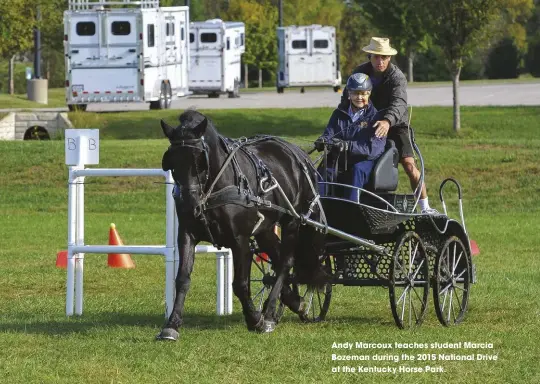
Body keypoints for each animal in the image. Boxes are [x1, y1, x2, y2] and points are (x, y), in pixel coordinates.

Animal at [156, 109, 324, 340]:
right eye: (172, 160)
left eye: (200, 160)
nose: (190, 205)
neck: (216, 186)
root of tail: (298, 153)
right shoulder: (187, 234)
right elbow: (182, 279)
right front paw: (172, 324)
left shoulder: (240, 240)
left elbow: (240, 284)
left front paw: (255, 319)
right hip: (265, 229)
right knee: (277, 257)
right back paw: (291, 301)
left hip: (293, 221)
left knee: (286, 262)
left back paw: (270, 312)